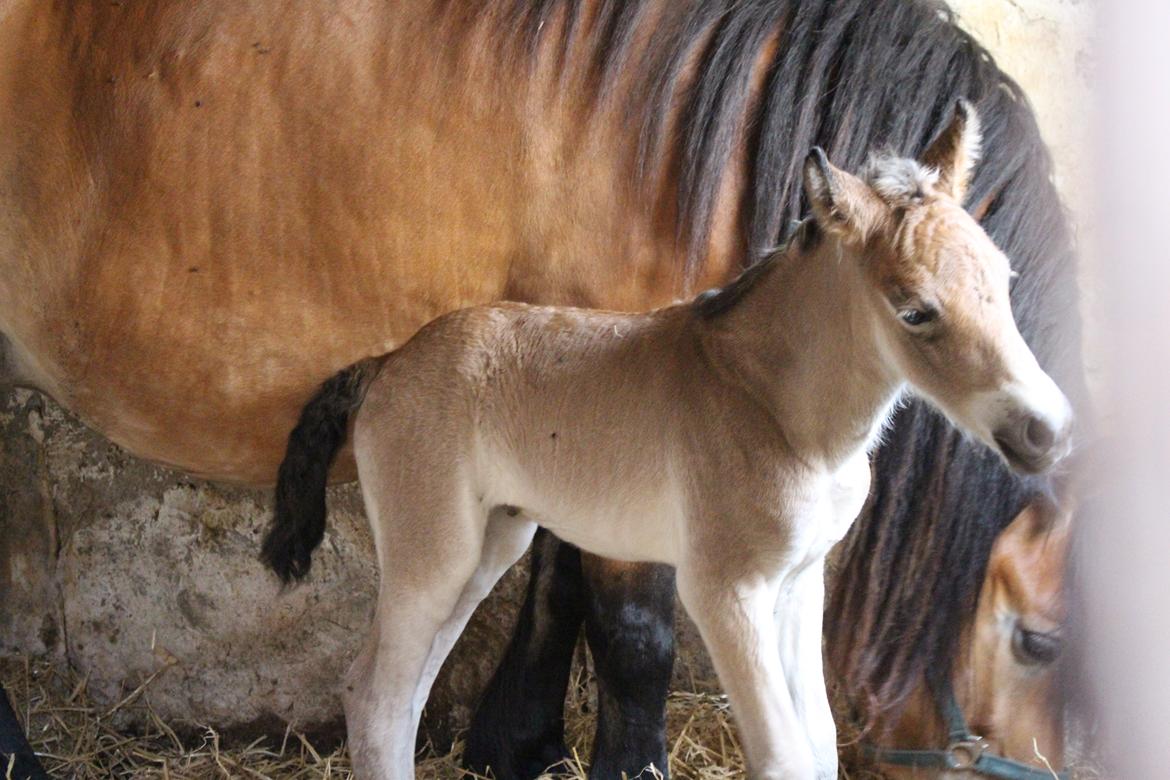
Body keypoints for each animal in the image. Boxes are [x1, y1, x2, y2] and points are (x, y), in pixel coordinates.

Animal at [265, 105, 1071, 780]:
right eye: (914, 311)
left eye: (1004, 279)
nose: (1048, 431)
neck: (777, 412)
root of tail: (385, 365)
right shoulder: (725, 589)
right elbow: (783, 756)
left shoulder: (798, 584)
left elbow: (818, 748)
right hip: (433, 552)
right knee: (378, 696)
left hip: (492, 543)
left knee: (394, 689)